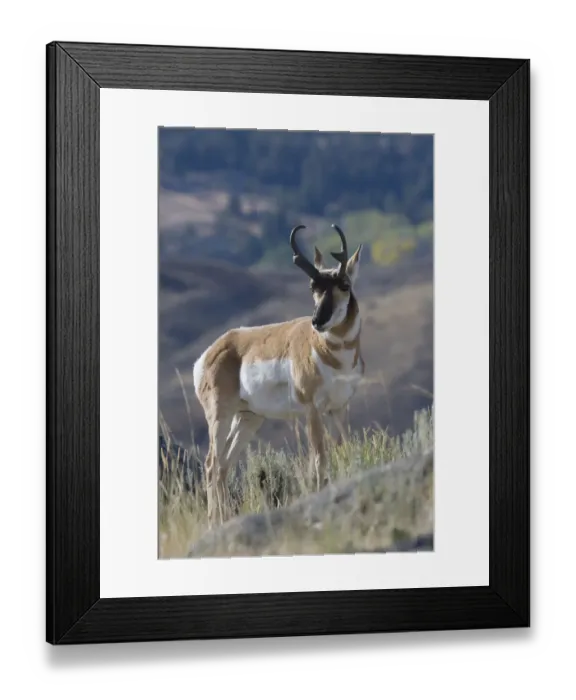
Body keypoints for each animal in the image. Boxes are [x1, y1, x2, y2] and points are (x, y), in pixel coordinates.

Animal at [192, 224, 365, 526]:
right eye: (313, 287)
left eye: (344, 284)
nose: (317, 321)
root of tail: (211, 352)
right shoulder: (312, 410)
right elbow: (319, 458)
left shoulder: (340, 408)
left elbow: (346, 448)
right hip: (220, 415)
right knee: (212, 463)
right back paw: (215, 523)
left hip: (248, 418)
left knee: (224, 464)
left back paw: (226, 520)